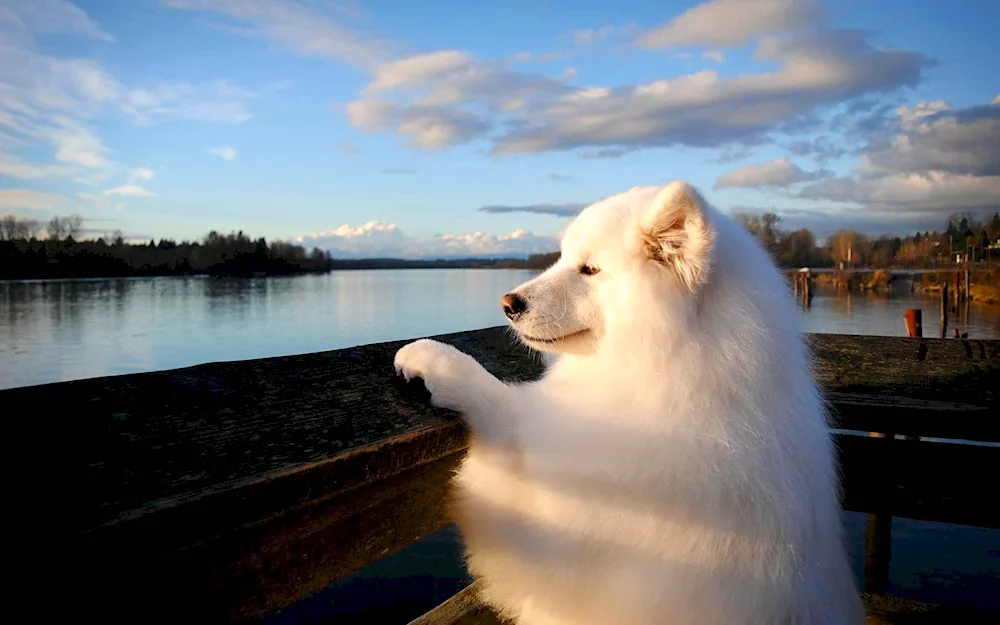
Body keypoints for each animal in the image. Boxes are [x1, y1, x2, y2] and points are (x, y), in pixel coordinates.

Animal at [394, 182, 864, 624]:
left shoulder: (556, 530)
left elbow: (501, 412)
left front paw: (431, 358)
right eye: (562, 258)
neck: (678, 370)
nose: (507, 304)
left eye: (589, 269)